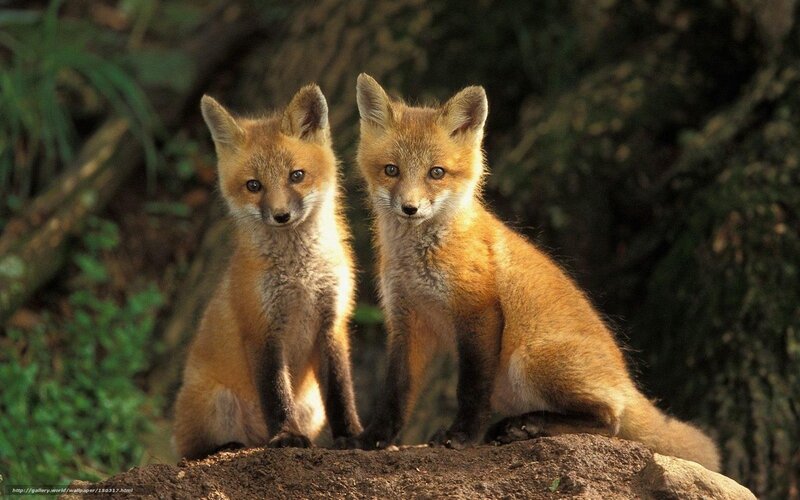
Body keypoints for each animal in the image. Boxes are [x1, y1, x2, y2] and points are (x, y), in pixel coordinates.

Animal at [172, 85, 362, 459]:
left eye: (296, 176)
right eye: (254, 186)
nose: (281, 215)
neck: (301, 276)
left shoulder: (332, 322)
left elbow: (341, 391)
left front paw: (352, 436)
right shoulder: (262, 328)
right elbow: (275, 393)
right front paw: (287, 436)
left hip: (311, 406)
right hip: (216, 403)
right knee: (191, 451)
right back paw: (228, 447)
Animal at [342, 73, 721, 472]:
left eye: (437, 173)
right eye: (391, 170)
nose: (410, 208)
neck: (419, 258)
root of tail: (626, 380)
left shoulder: (479, 311)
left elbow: (470, 388)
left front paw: (460, 437)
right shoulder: (407, 319)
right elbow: (396, 391)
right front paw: (372, 440)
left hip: (527, 359)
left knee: (610, 420)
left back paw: (530, 426)